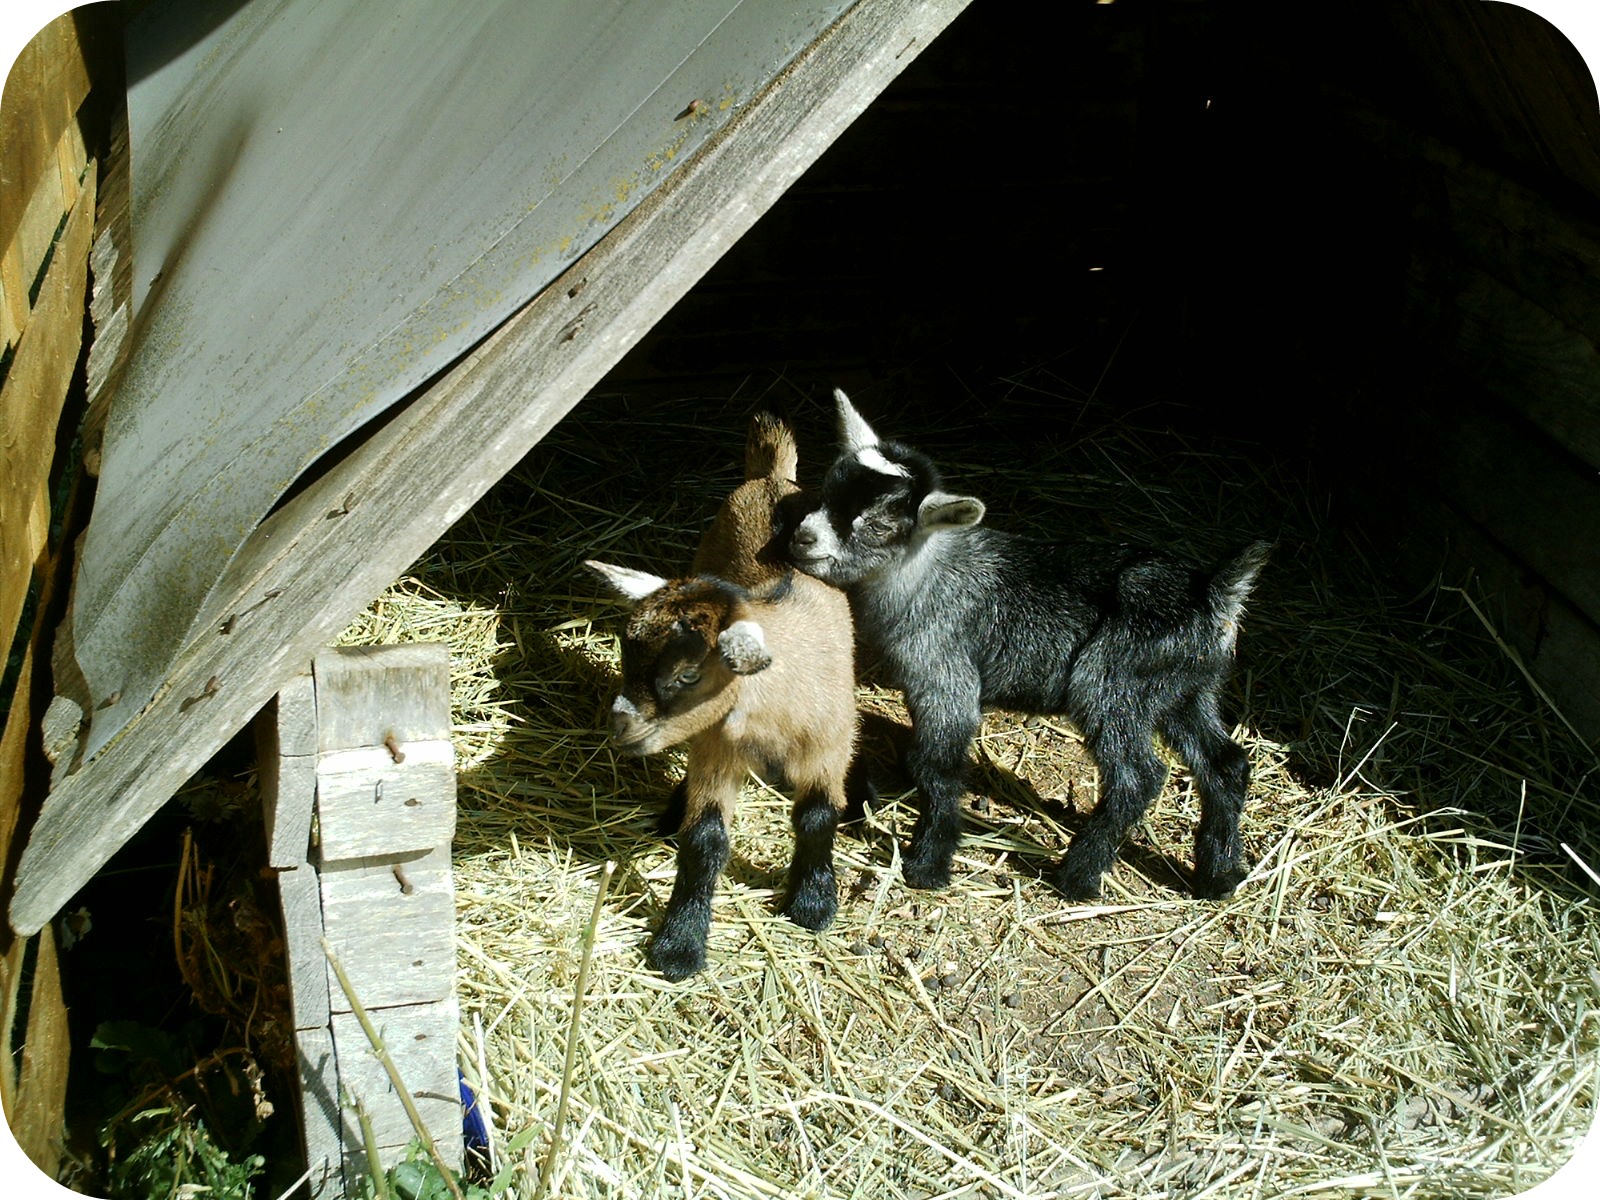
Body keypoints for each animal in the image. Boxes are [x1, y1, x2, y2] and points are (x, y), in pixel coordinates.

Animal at [790, 390, 1273, 908]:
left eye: (879, 526)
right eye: (827, 491)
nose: (802, 537)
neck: (921, 575)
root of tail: (1214, 593)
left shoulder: (943, 672)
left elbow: (937, 765)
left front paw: (927, 865)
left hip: (1110, 684)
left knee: (1137, 776)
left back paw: (1078, 875)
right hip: (1184, 690)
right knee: (1225, 764)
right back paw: (1219, 876)